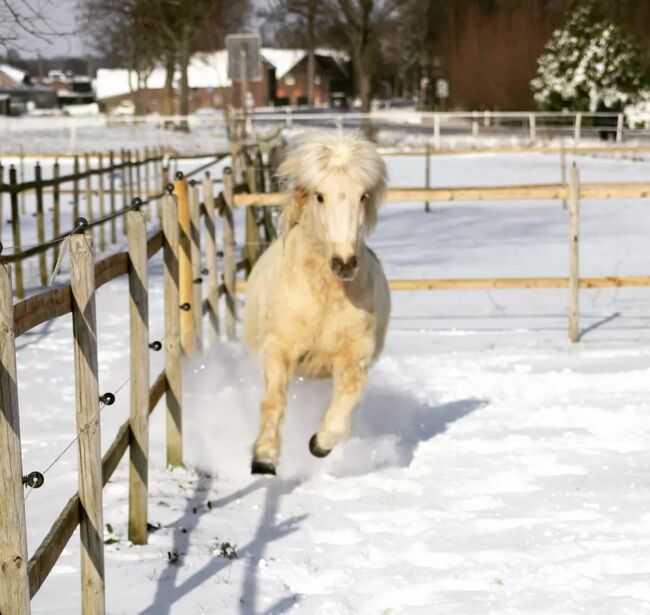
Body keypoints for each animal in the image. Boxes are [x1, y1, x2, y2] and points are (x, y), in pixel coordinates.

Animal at [240, 130, 388, 476]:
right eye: (320, 196)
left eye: (363, 196)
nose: (345, 263)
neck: (323, 298)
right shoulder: (278, 349)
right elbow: (274, 401)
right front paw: (264, 459)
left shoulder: (353, 359)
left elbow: (343, 407)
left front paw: (318, 444)